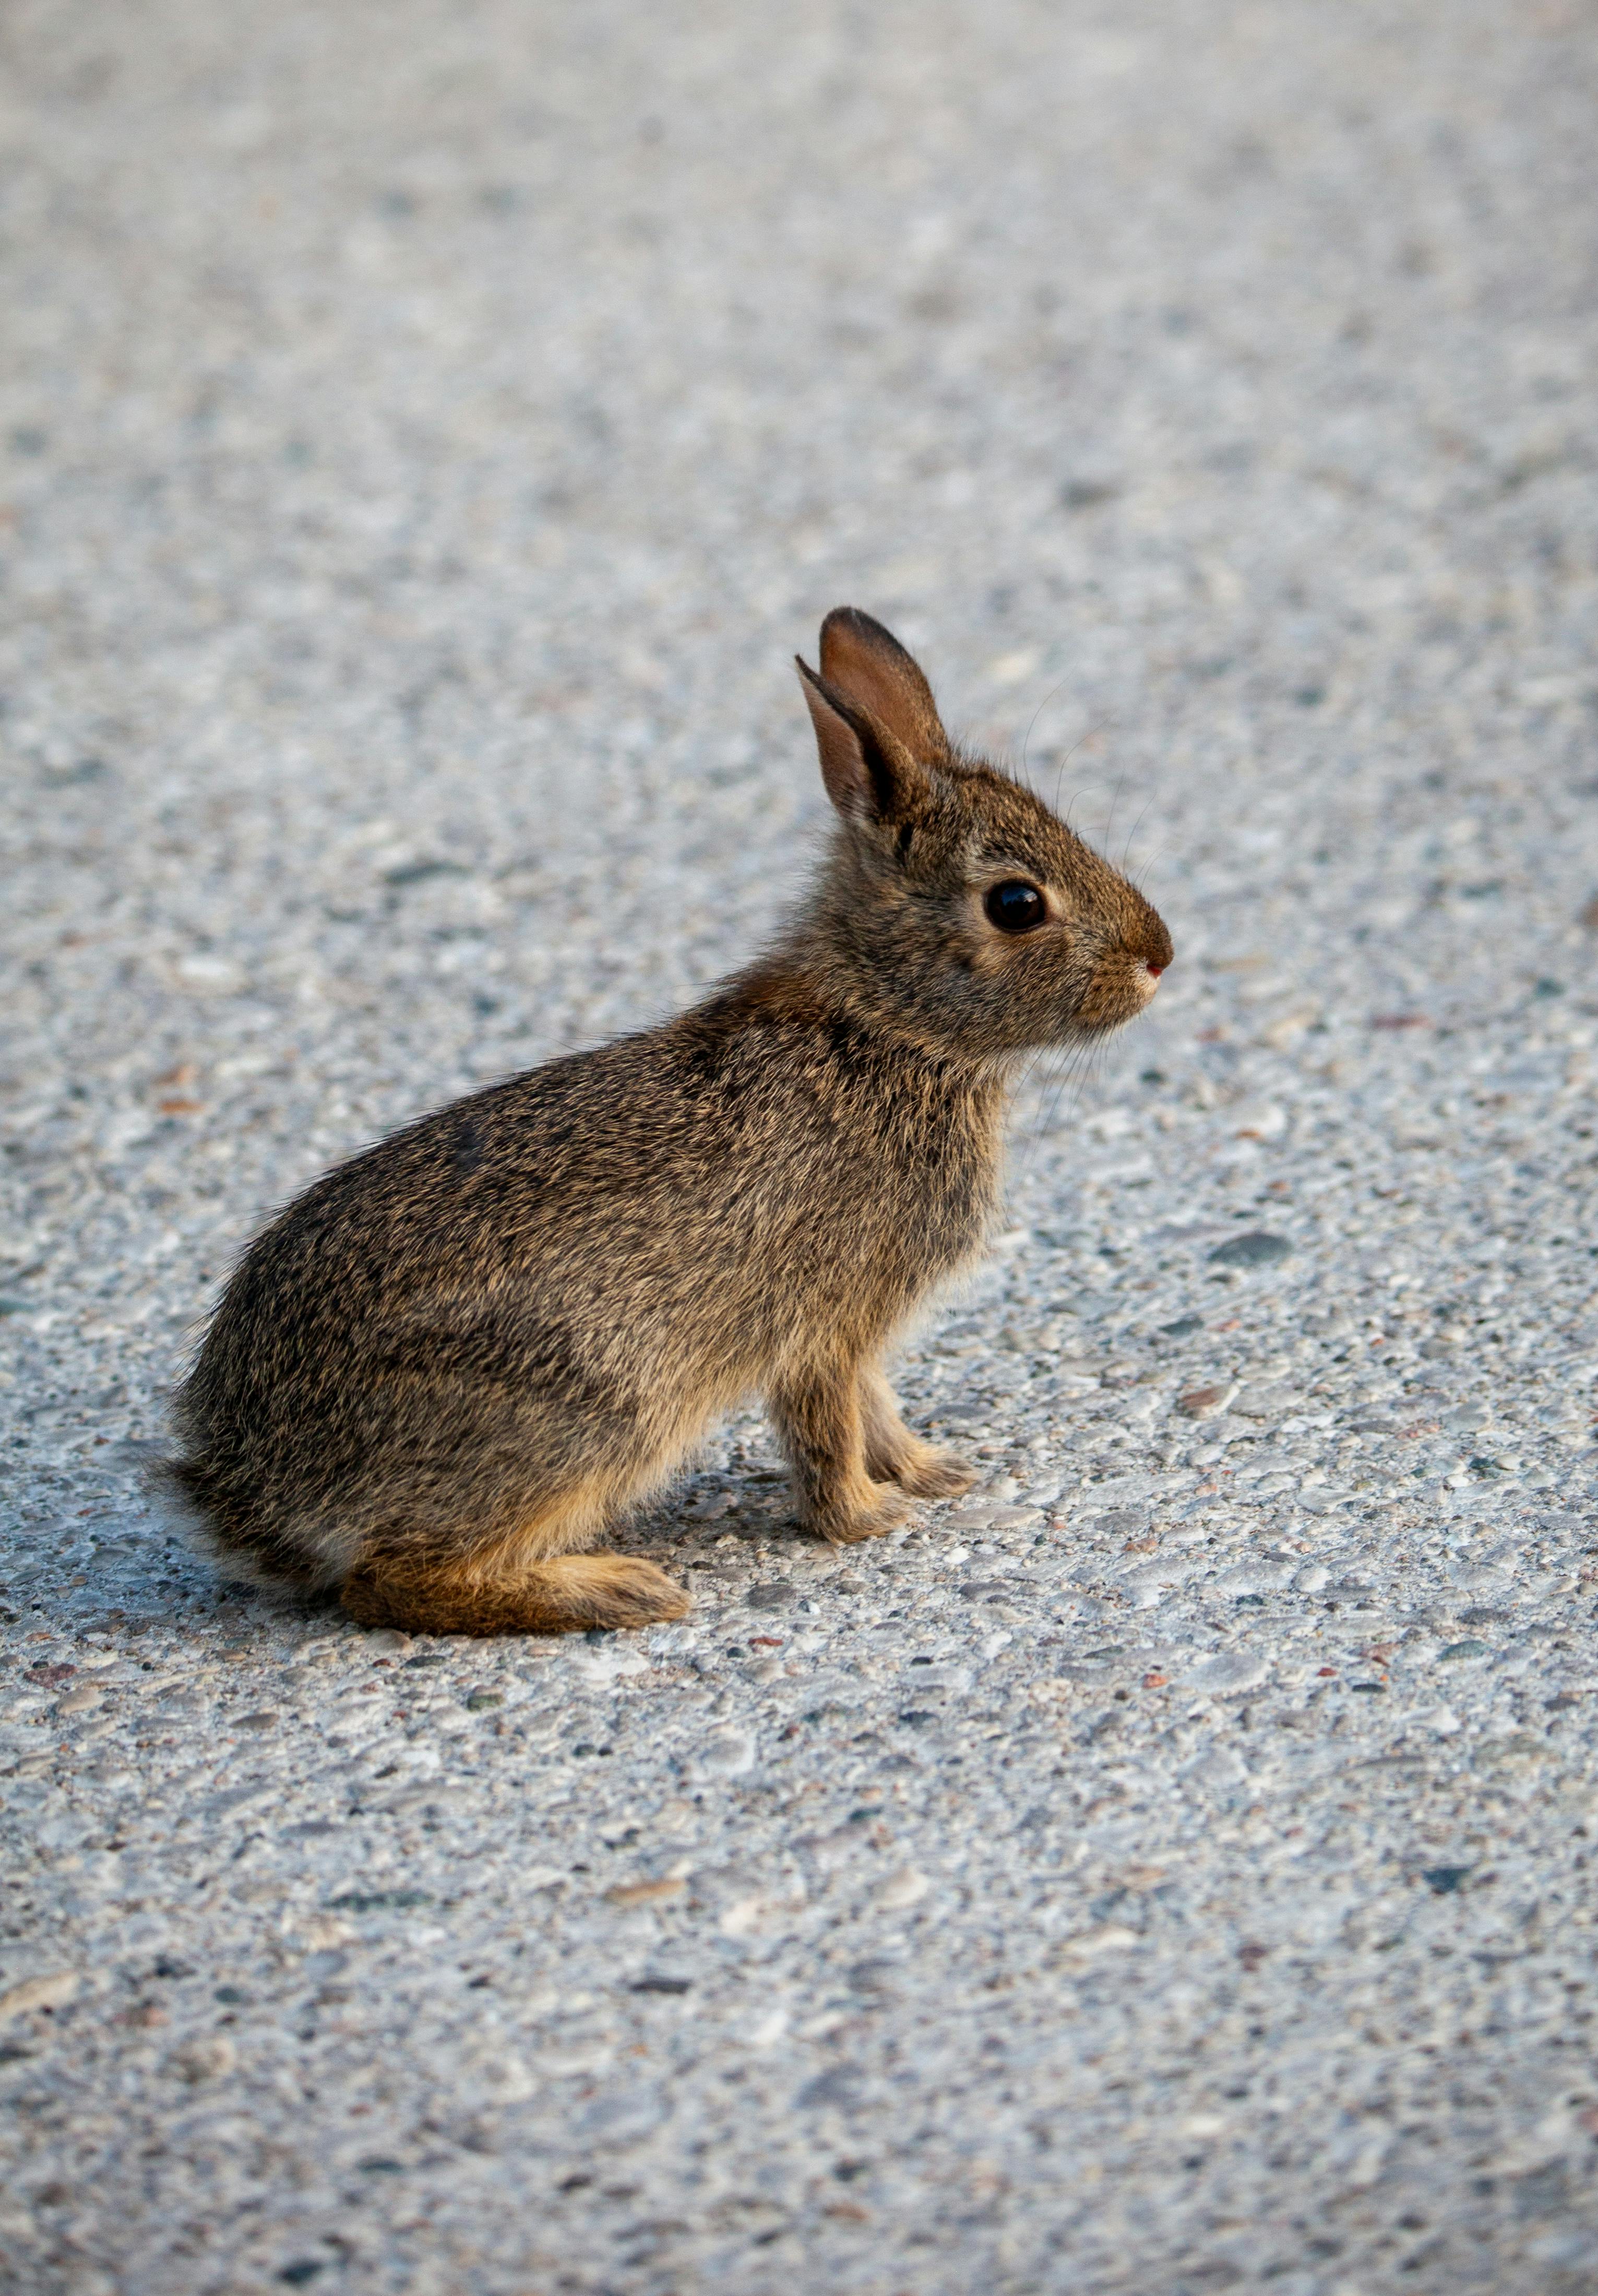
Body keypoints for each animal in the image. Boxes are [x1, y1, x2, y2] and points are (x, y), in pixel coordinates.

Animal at [172, 601, 1175, 1625]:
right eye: (1015, 903)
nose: (1158, 956)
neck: (883, 1022)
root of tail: (252, 1486)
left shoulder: (857, 1334)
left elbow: (877, 1406)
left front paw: (933, 1472)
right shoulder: (821, 1321)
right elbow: (827, 1427)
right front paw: (866, 1519)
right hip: (593, 1411)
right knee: (392, 1580)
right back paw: (612, 1589)